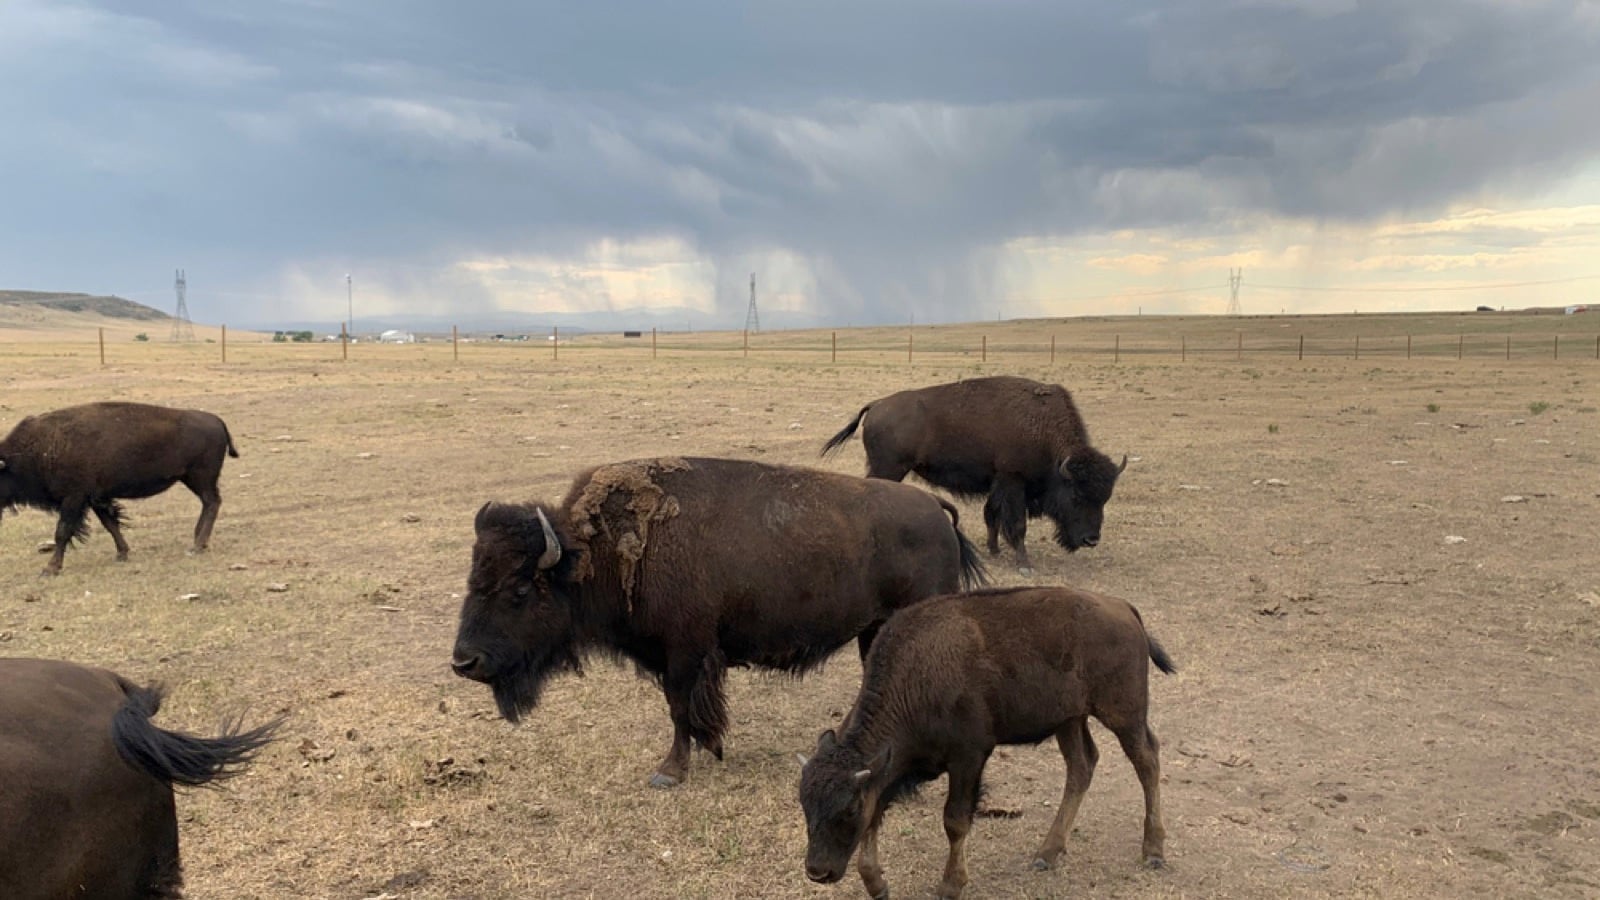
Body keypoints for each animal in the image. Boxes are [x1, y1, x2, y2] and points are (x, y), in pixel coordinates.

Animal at [0, 401, 240, 574]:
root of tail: (217, 420)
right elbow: (111, 524)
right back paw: (199, 541)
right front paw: (122, 554)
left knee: (212, 503)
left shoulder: (74, 499)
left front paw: (50, 568)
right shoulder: (96, 498)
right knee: (209, 504)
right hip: (191, 479)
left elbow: (63, 531)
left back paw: (197, 546)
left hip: (200, 478)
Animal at [450, 456, 986, 787]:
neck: (596, 551)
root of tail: (935, 509)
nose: (463, 662)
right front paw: (707, 751)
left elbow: (680, 708)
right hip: (874, 629)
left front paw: (671, 771)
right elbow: (683, 708)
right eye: (473, 577)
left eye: (520, 590)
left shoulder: (685, 652)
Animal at [799, 585, 1174, 899]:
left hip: (1124, 715)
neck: (916, 679)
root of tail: (1123, 608)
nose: (818, 871)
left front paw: (950, 885)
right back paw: (1047, 853)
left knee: (1147, 761)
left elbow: (955, 820)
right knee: (1082, 766)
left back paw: (1153, 851)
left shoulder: (968, 758)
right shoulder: (887, 773)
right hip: (1069, 721)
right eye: (804, 803)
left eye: (848, 808)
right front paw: (877, 884)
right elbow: (876, 815)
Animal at [821, 375, 1126, 572]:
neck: (1041, 428)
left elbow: (991, 515)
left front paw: (994, 550)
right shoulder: (1013, 481)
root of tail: (876, 405)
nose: (1091, 539)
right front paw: (1024, 564)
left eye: (1105, 498)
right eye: (1076, 497)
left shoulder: (997, 482)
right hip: (889, 469)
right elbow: (1017, 524)